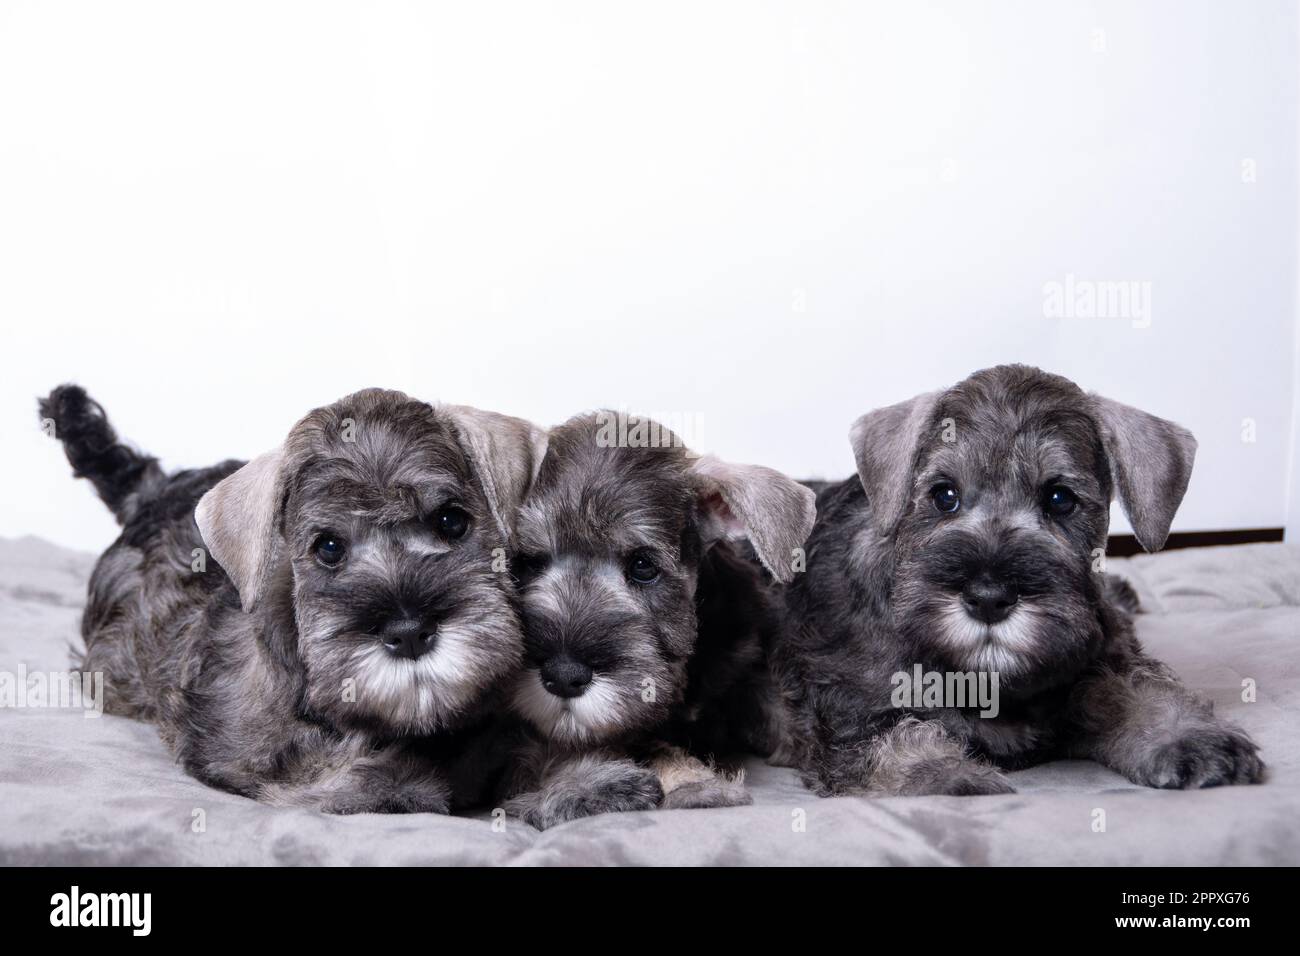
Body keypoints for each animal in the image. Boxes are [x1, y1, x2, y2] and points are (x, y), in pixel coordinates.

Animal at [39, 385, 538, 811]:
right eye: (329, 547)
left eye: (452, 521)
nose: (410, 632)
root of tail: (151, 493)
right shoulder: (271, 767)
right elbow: (363, 778)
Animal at [499, 413, 811, 832]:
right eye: (529, 562)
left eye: (643, 566)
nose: (563, 675)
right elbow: (651, 748)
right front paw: (693, 785)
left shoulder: (748, 662)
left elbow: (783, 709)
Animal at [769, 361, 1258, 796]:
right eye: (944, 495)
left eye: (1060, 499)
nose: (989, 597)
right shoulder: (853, 708)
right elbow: (894, 742)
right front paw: (950, 778)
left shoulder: (1100, 660)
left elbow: (1136, 687)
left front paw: (1188, 738)